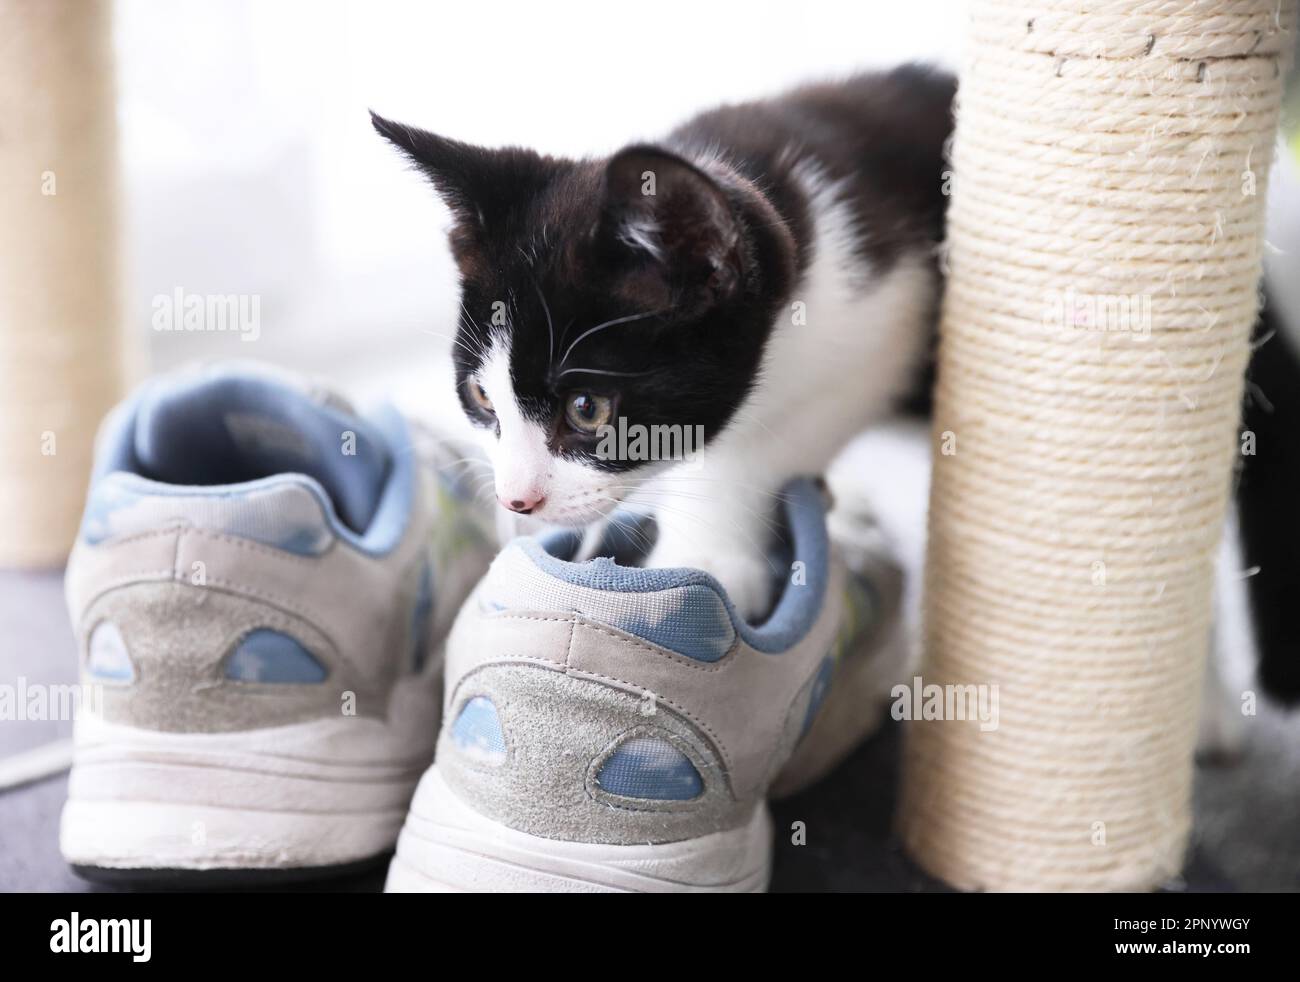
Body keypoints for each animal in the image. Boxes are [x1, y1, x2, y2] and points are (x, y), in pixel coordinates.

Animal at [377, 67, 956, 613]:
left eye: (587, 408)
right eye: (481, 395)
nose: (515, 501)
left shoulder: (882, 328)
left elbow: (771, 437)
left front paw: (703, 562)